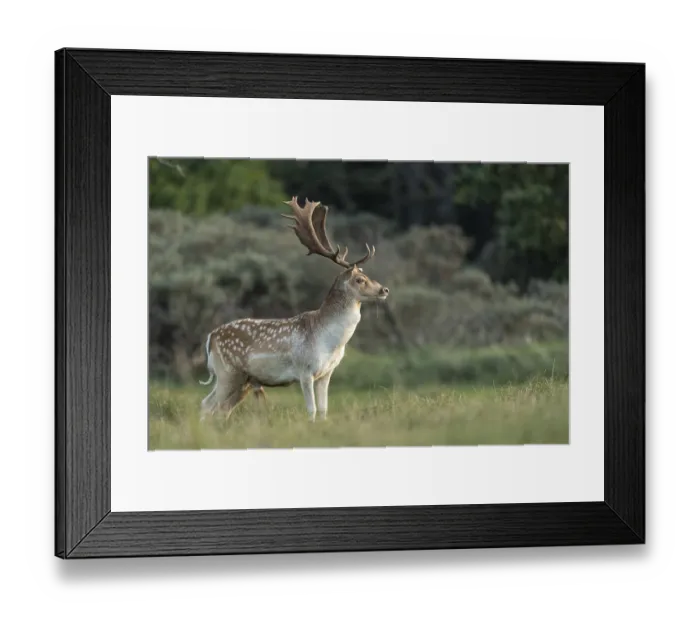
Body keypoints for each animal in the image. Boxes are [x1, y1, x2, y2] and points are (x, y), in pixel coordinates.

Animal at [198, 197, 390, 423]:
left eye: (367, 275)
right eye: (360, 279)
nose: (384, 289)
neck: (329, 341)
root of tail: (210, 337)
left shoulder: (326, 374)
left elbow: (324, 410)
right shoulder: (304, 370)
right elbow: (312, 410)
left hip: (243, 381)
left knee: (220, 409)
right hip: (227, 372)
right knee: (207, 405)